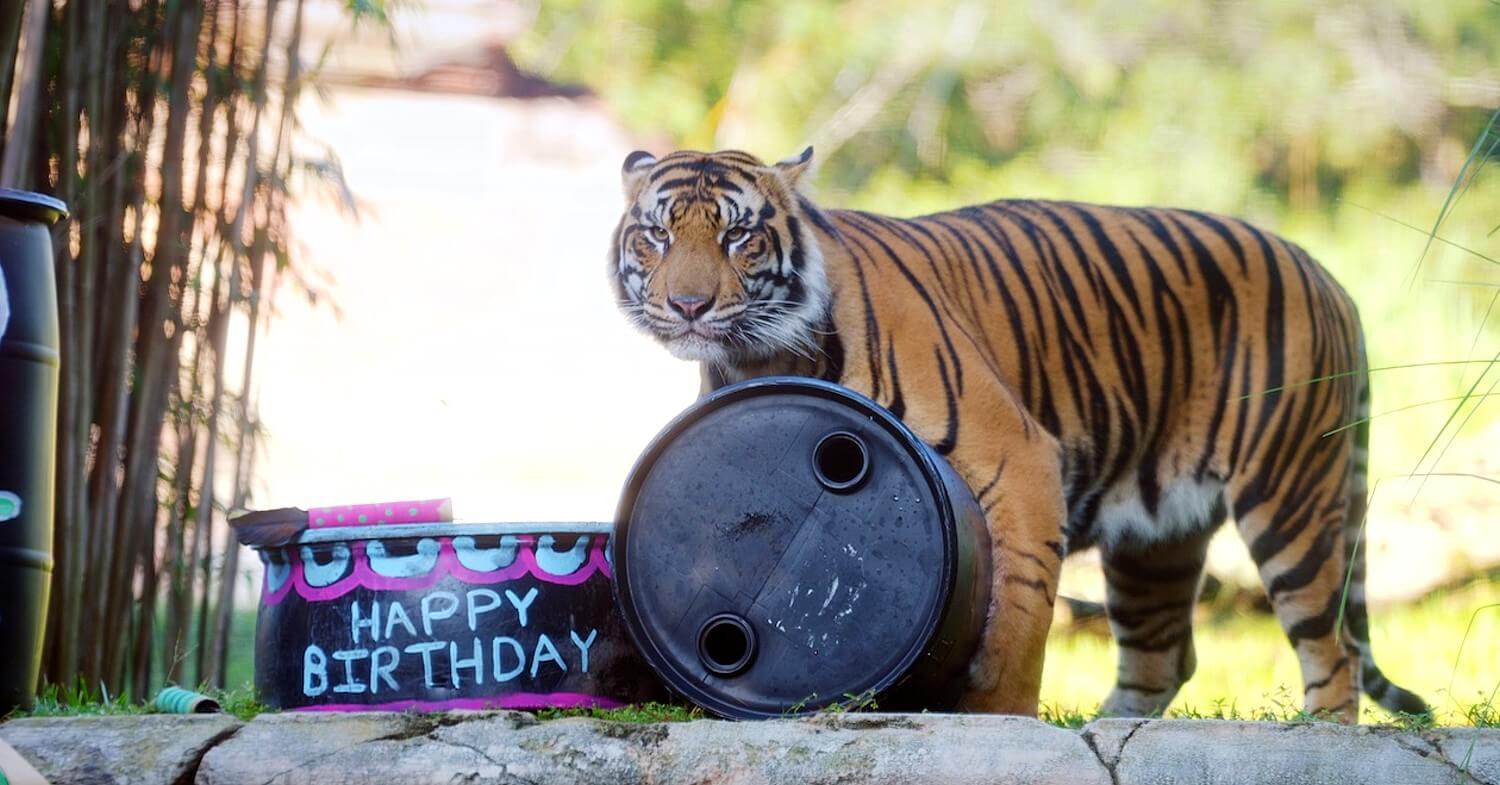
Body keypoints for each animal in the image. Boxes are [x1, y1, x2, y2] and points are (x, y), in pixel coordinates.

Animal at [607, 146, 1427, 721]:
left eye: (739, 237)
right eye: (655, 236)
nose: (687, 305)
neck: (765, 352)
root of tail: (1325, 273)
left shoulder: (1021, 459)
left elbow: (1020, 612)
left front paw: (999, 712)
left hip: (1291, 498)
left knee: (1333, 648)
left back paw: (1318, 732)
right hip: (1156, 538)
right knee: (1164, 657)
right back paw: (1105, 725)